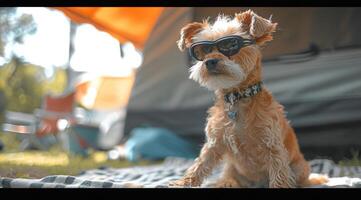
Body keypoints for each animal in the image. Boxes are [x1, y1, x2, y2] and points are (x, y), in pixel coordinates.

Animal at [169, 9, 326, 188]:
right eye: (204, 50)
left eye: (230, 45)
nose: (209, 61)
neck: (237, 97)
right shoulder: (214, 143)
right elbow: (200, 164)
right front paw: (183, 183)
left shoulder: (272, 145)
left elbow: (279, 173)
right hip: (231, 168)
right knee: (230, 176)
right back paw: (226, 182)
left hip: (300, 167)